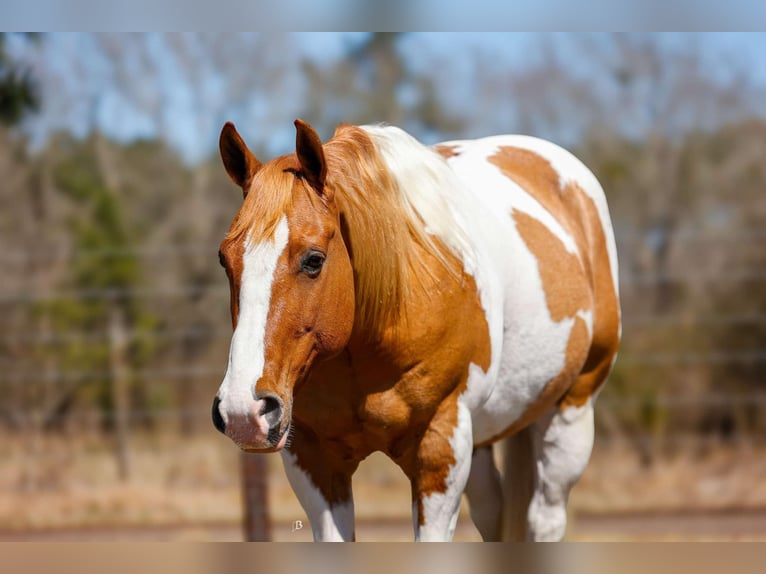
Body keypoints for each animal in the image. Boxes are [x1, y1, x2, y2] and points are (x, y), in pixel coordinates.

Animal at [212, 119, 624, 544]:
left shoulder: (440, 448)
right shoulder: (313, 458)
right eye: (225, 259)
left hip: (571, 413)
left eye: (314, 260)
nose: (243, 411)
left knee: (545, 518)